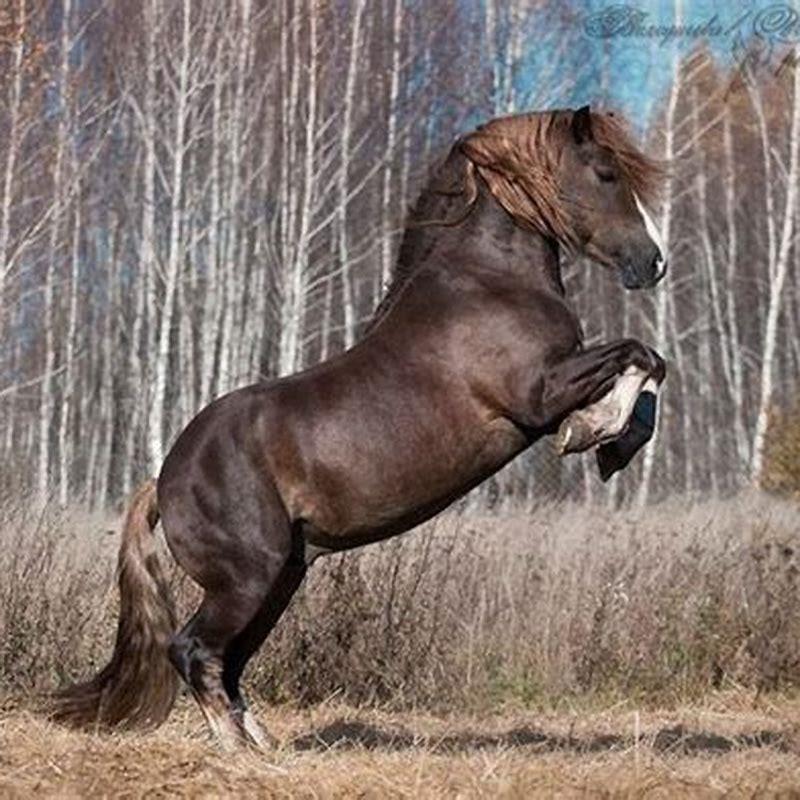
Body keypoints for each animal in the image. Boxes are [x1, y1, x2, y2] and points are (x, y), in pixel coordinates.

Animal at [53, 105, 667, 749]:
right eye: (605, 173)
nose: (653, 262)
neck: (486, 281)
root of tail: (164, 479)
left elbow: (651, 363)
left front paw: (615, 442)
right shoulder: (539, 394)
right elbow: (641, 354)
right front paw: (598, 434)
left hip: (280, 578)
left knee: (229, 662)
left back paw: (266, 748)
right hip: (246, 579)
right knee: (194, 650)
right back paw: (238, 752)